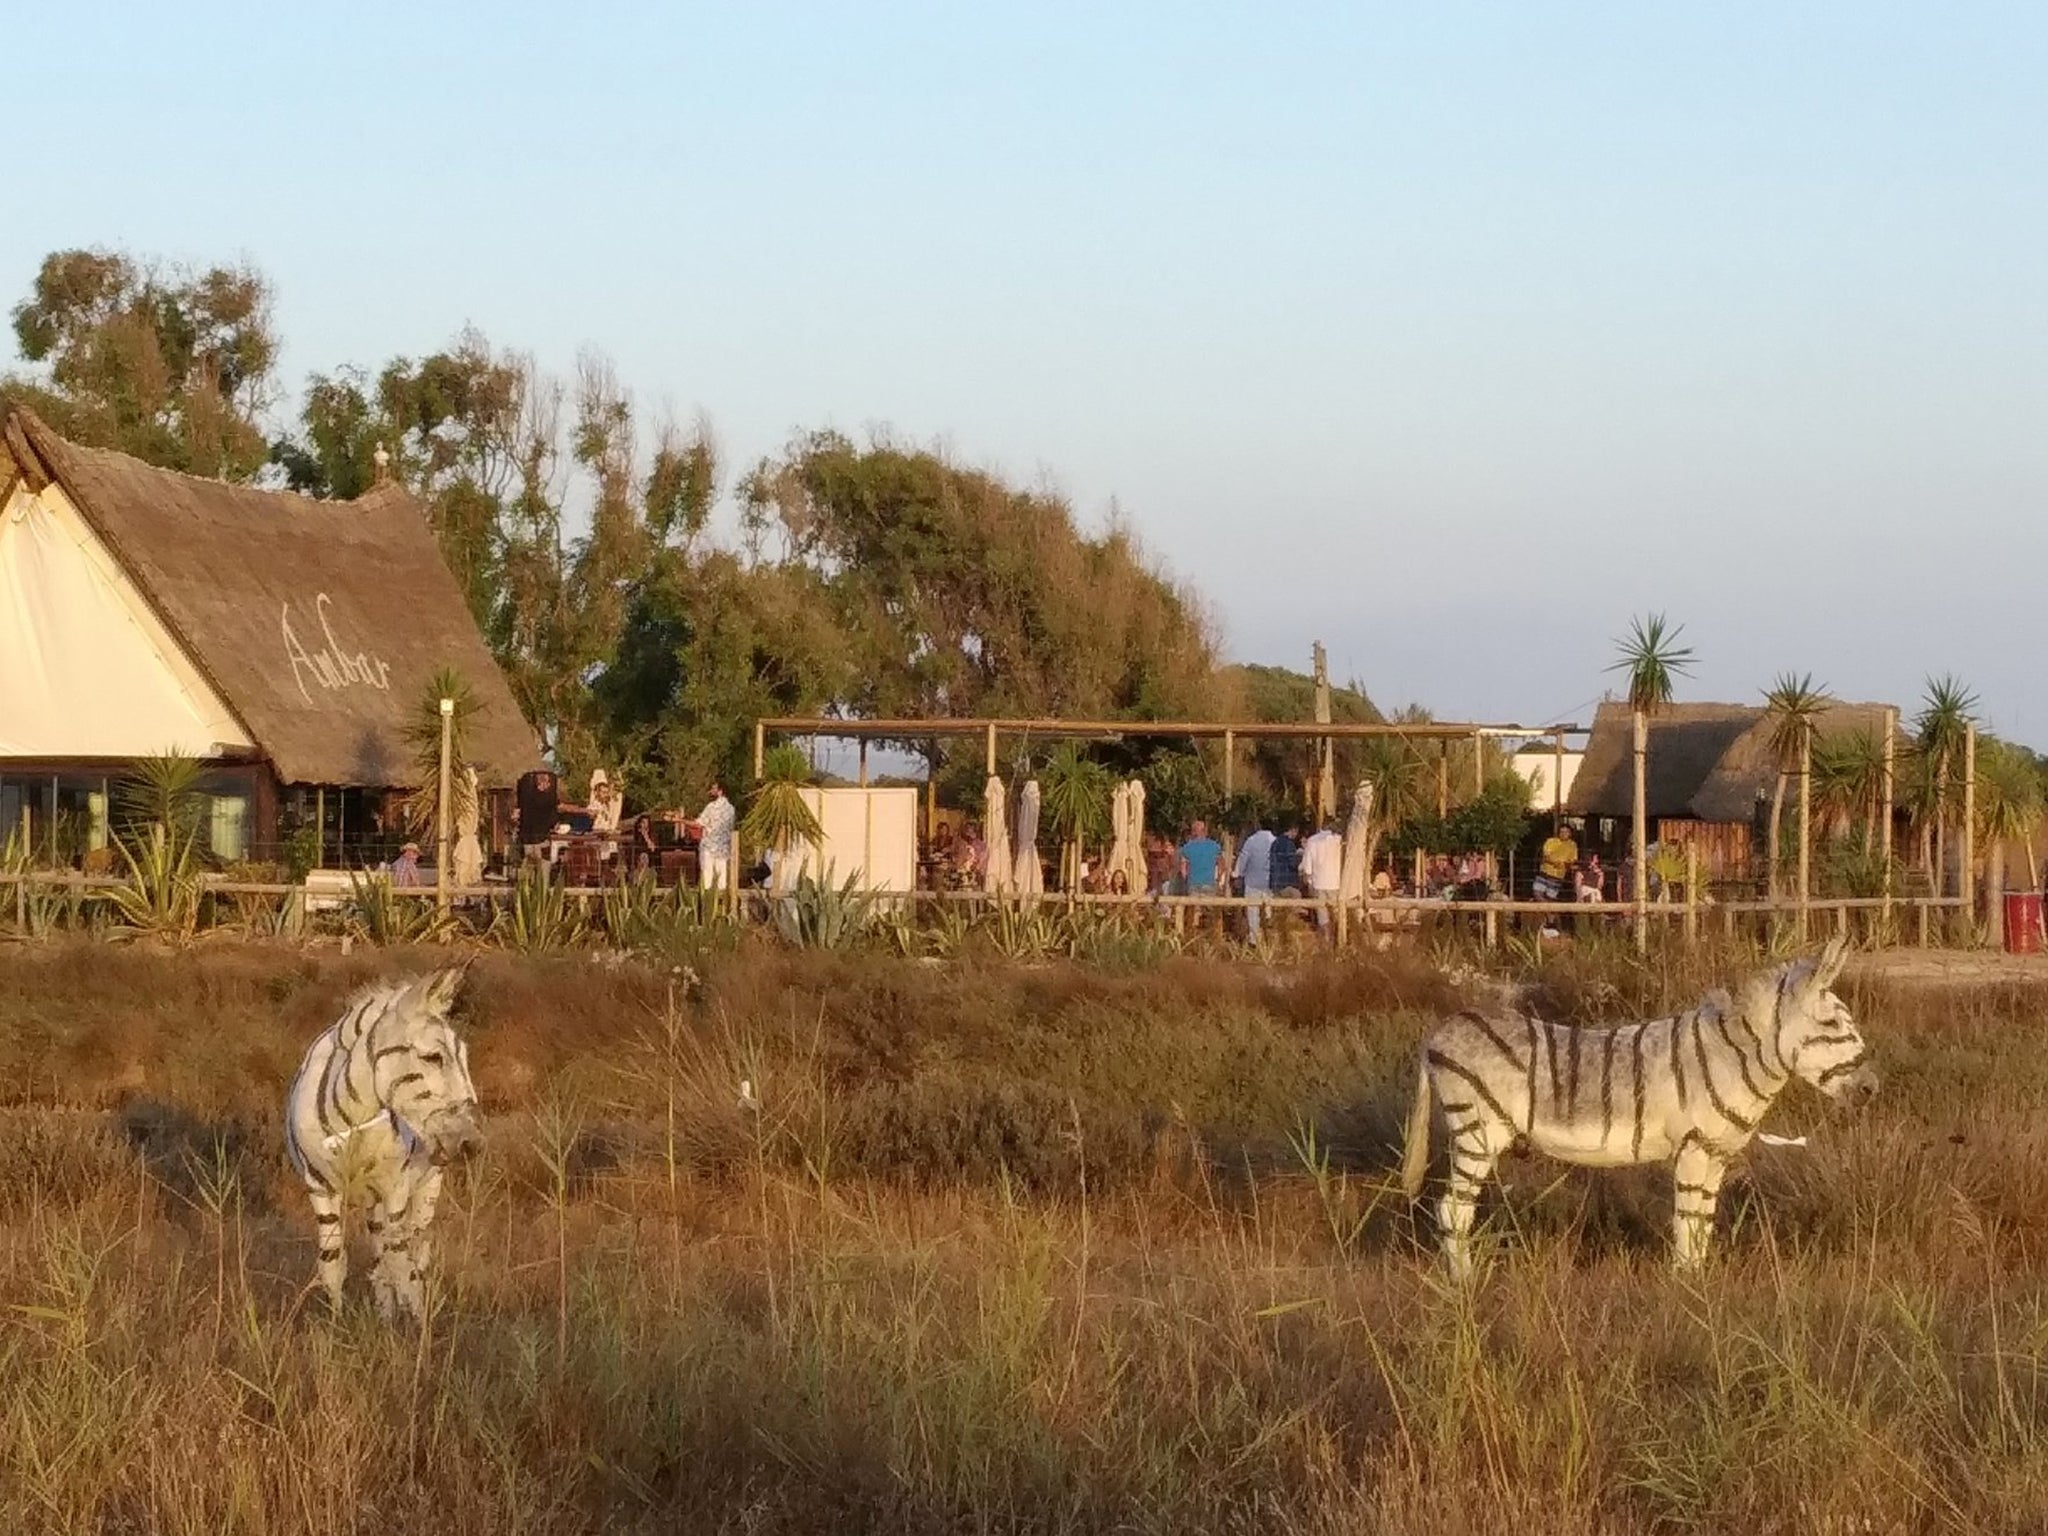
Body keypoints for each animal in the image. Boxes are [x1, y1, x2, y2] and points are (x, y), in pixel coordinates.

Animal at [285, 965, 484, 1322]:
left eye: (464, 1056)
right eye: (432, 1057)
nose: (472, 1144)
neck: (354, 1115)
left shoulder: (396, 1189)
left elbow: (400, 1268)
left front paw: (410, 1330)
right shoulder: (319, 1188)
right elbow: (333, 1264)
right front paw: (337, 1326)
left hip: (426, 1186)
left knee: (414, 1253)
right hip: (373, 1200)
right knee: (382, 1255)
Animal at [1398, 936, 1876, 1275]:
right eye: (1832, 1024)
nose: (1872, 1088)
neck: (1731, 1059)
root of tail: (1442, 1030)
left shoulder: (1717, 1154)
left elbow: (1703, 1226)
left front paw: (1703, 1292)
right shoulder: (1694, 1147)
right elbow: (1687, 1224)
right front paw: (1687, 1294)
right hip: (1478, 1134)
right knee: (1453, 1209)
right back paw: (1464, 1288)